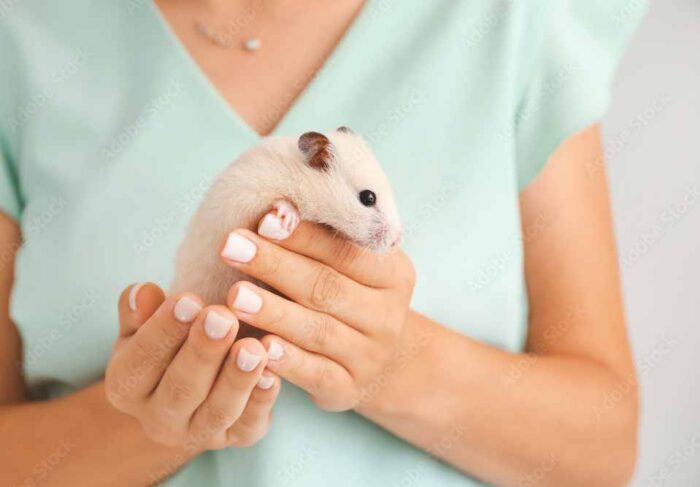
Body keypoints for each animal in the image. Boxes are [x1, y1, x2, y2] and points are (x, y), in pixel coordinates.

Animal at [170, 127, 402, 306]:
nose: (396, 241)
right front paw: (288, 218)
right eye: (368, 197)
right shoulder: (242, 195)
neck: (298, 176)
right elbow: (275, 202)